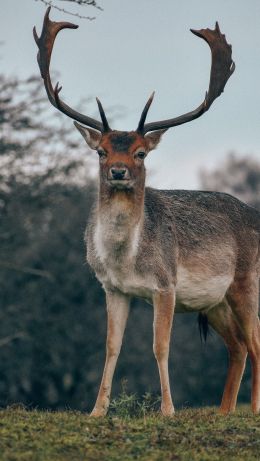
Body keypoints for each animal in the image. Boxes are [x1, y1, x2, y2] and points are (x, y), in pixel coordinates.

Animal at [34, 8, 260, 416]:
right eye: (101, 150)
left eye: (140, 152)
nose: (118, 171)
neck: (127, 259)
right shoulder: (111, 288)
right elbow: (111, 347)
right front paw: (97, 410)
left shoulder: (165, 284)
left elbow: (160, 346)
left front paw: (167, 410)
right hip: (215, 302)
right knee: (238, 346)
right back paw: (223, 411)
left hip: (246, 281)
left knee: (256, 342)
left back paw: (252, 410)